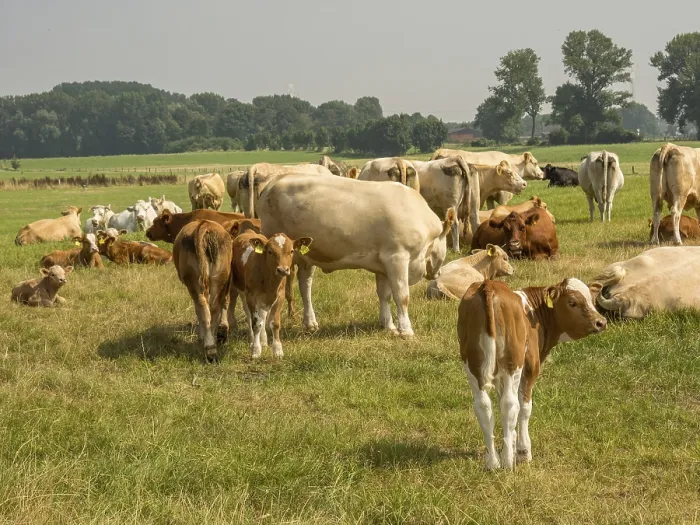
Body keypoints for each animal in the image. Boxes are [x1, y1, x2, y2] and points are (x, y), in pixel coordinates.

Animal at [173, 220, 233, 362]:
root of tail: (204, 224)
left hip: (196, 282)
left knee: (204, 307)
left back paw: (209, 346)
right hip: (218, 278)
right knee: (212, 308)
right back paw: (212, 345)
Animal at [257, 174, 455, 337]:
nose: (438, 273)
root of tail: (275, 181)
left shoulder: (383, 265)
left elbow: (384, 295)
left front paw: (388, 326)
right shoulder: (396, 257)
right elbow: (402, 295)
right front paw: (406, 331)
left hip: (307, 256)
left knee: (305, 285)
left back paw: (310, 323)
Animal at [458, 278, 606, 469]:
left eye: (591, 300)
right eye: (572, 302)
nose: (601, 322)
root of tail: (488, 284)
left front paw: (511, 443)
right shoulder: (530, 367)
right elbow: (525, 407)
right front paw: (522, 451)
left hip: (472, 363)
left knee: (483, 405)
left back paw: (492, 462)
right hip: (514, 362)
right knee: (510, 404)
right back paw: (507, 462)